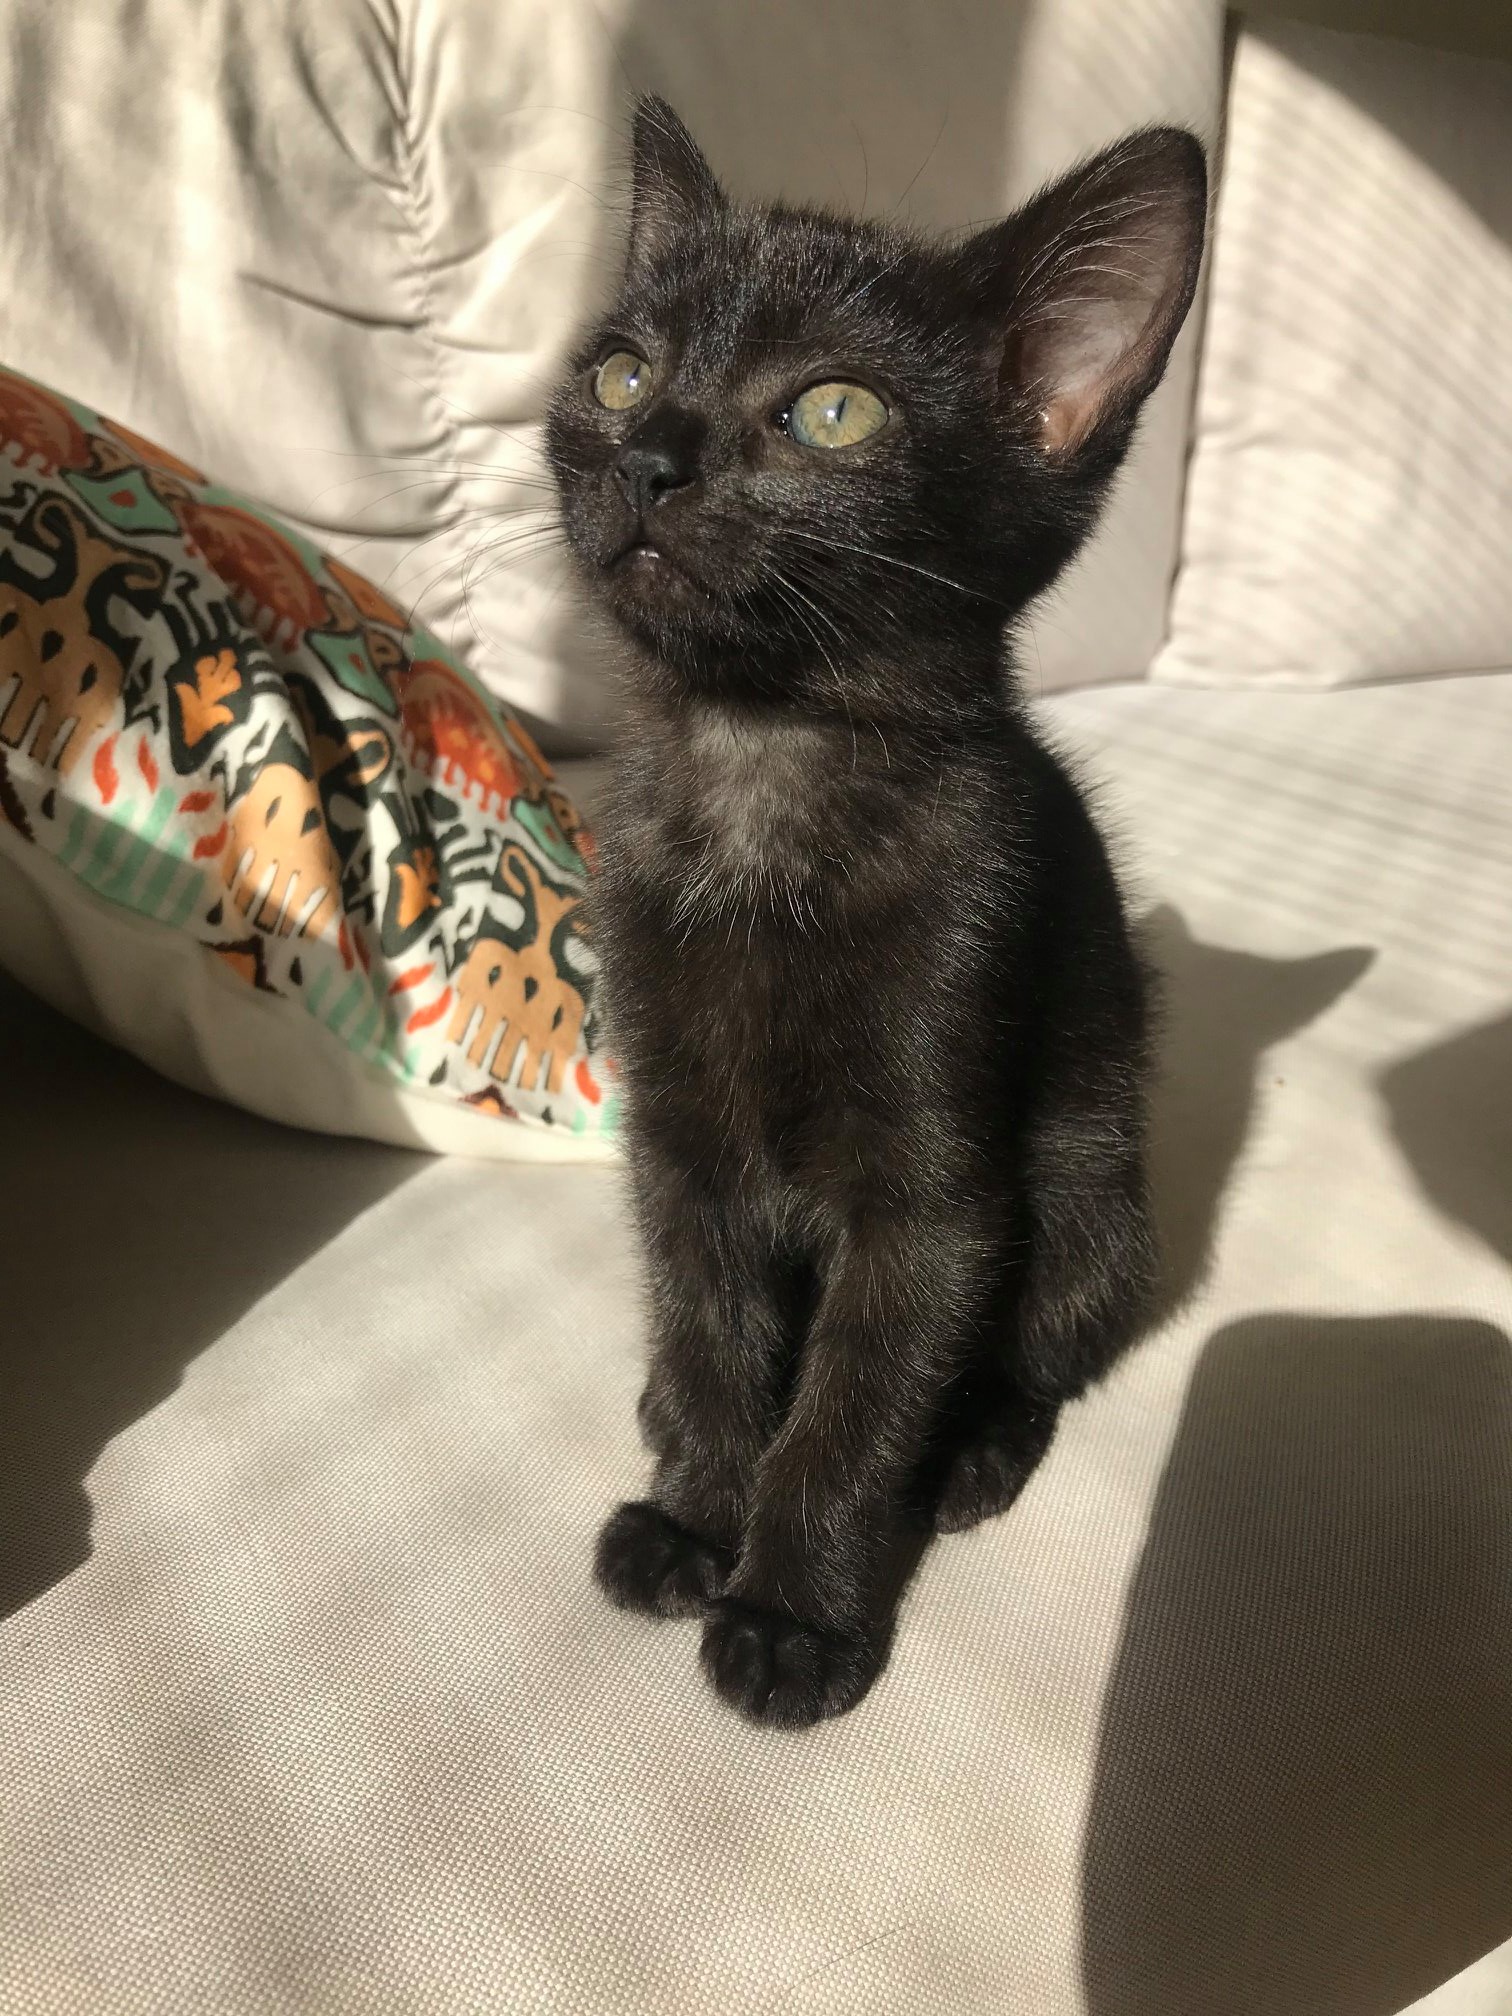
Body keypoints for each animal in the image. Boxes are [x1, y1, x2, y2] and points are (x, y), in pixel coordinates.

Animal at [547, 97, 1207, 1727]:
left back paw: (970, 1453)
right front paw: (695, 1512)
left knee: (1044, 1349)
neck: (760, 773)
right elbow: (711, 1326)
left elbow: (857, 1401)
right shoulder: (673, 1141)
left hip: (1091, 1197)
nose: (647, 456)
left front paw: (791, 1613)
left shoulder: (935, 1188)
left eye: (834, 413)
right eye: (620, 369)